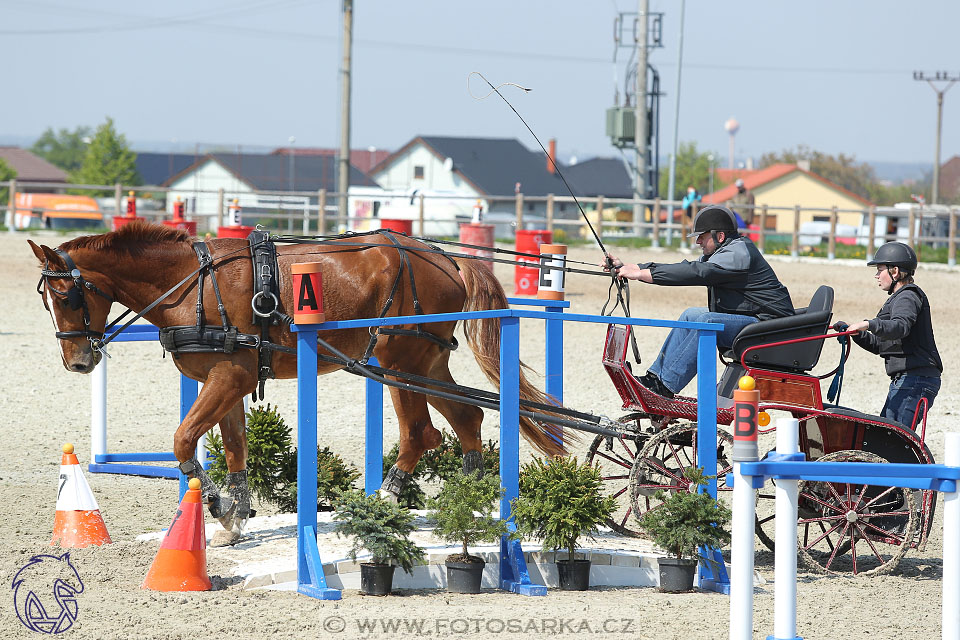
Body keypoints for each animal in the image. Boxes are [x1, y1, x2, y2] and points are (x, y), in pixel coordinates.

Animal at [30, 221, 568, 544]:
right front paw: (233, 517)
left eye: (69, 295)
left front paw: (212, 502)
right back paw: (472, 497)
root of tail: (446, 258)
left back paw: (385, 500)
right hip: (426, 363)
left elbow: (184, 440)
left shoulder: (231, 376)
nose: (77, 361)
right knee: (467, 416)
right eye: (47, 300)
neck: (192, 284)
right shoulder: (228, 380)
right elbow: (235, 448)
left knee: (421, 432)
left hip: (400, 363)